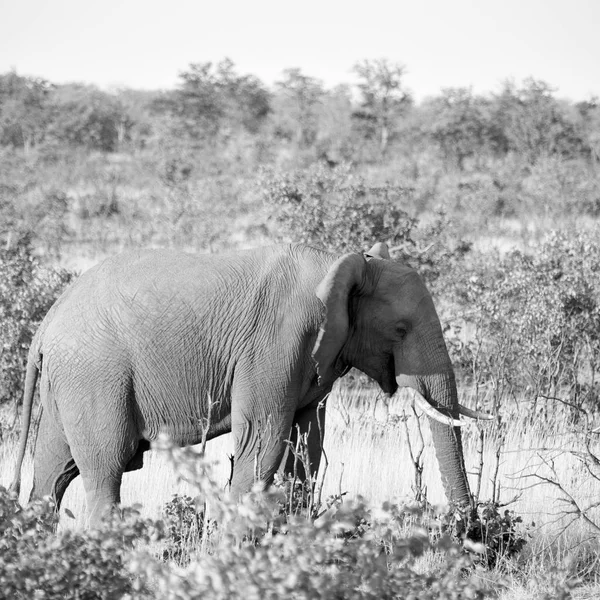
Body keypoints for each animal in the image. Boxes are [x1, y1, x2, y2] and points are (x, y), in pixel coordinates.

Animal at [10, 241, 488, 524]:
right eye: (401, 330)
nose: (470, 531)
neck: (342, 263)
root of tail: (47, 321)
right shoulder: (276, 343)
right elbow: (264, 442)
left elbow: (307, 446)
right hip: (94, 375)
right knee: (103, 470)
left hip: (69, 381)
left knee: (53, 472)